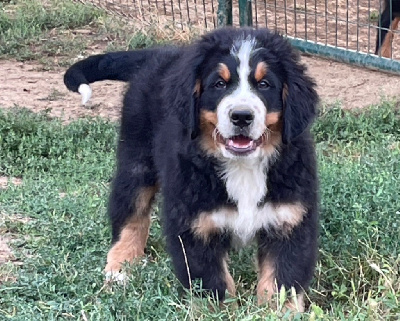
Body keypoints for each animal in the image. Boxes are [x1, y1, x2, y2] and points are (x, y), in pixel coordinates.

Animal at [64, 28, 320, 310]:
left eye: (264, 84)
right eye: (219, 84)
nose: (242, 116)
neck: (242, 167)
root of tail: (160, 54)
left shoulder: (290, 219)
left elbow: (281, 280)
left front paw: (278, 312)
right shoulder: (193, 223)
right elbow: (211, 282)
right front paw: (219, 311)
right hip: (136, 160)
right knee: (129, 212)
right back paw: (120, 264)